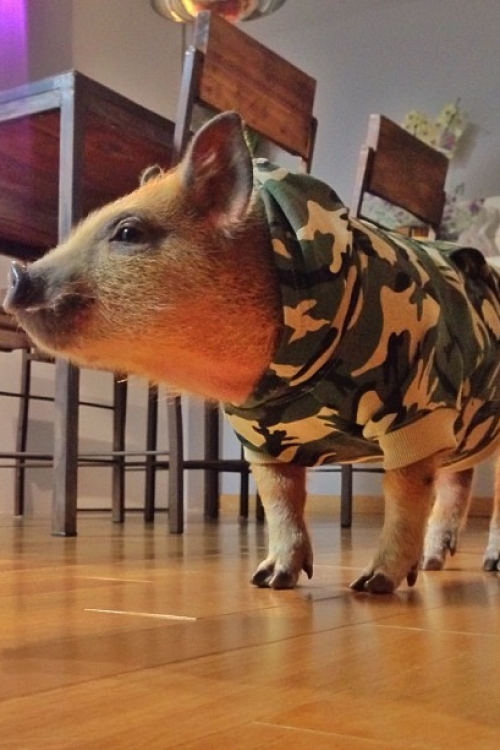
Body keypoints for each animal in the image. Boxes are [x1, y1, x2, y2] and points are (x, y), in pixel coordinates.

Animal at [5, 111, 500, 594]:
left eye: (128, 232)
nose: (17, 275)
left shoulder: (416, 411)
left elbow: (404, 496)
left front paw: (372, 585)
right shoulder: (261, 434)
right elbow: (279, 498)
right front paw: (269, 581)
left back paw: (485, 565)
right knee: (460, 481)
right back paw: (435, 564)